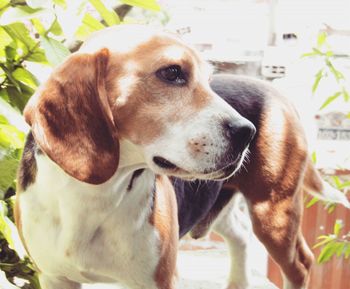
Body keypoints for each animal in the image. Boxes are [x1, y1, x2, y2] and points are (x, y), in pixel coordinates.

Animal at [14, 25, 330, 288]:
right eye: (171, 73)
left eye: (209, 81)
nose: (247, 132)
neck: (94, 195)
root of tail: (276, 90)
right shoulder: (54, 277)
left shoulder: (158, 280)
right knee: (240, 234)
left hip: (274, 212)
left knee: (301, 264)